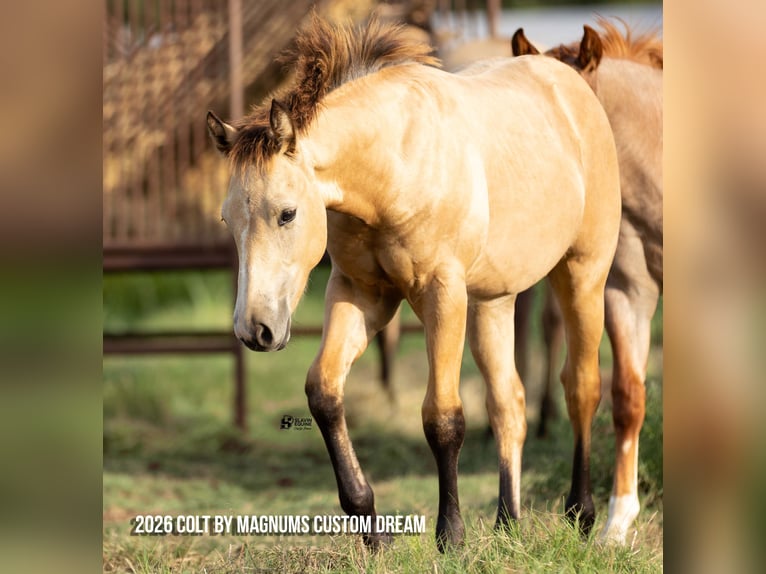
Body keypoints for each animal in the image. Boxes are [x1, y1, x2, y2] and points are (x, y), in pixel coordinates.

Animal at [207, 15, 621, 551]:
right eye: (226, 220)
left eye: (287, 213)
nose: (254, 330)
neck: (394, 164)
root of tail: (569, 82)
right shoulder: (360, 294)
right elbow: (323, 391)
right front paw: (369, 524)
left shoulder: (442, 296)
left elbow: (443, 417)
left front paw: (451, 536)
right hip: (494, 301)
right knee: (509, 401)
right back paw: (508, 523)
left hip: (582, 275)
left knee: (582, 387)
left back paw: (581, 513)